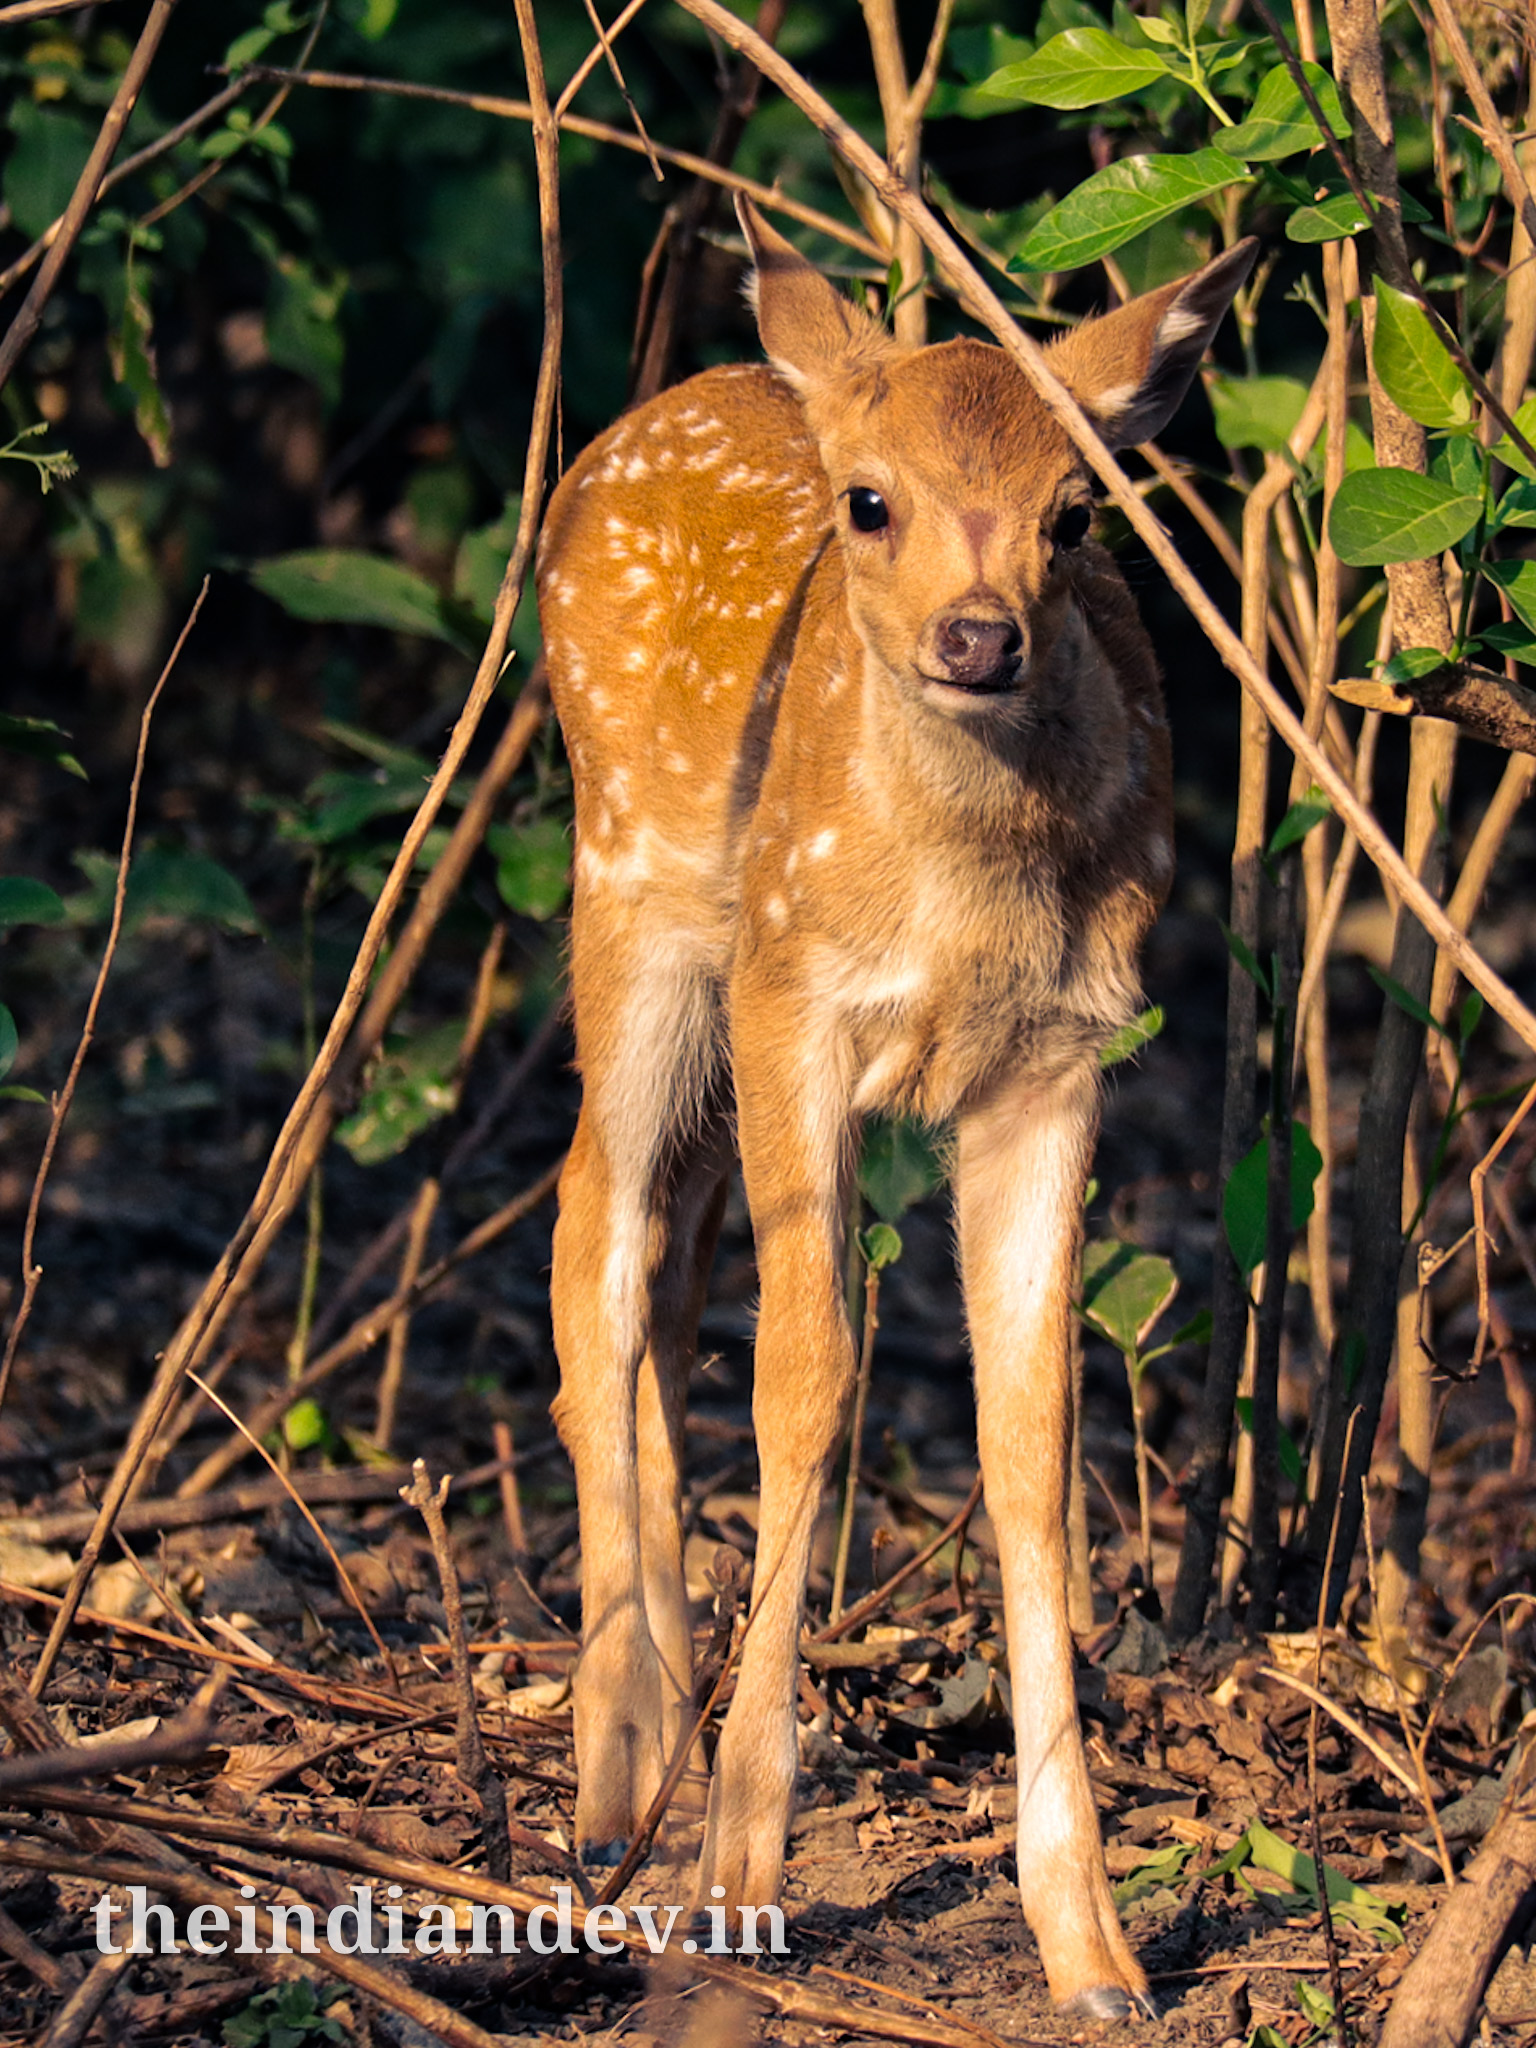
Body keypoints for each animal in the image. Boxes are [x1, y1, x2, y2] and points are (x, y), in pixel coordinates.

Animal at [537, 199, 1256, 2020]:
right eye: (871, 502)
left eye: (1078, 510)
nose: (980, 636)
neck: (962, 891)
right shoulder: (796, 1000)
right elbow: (810, 1384)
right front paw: (740, 1877)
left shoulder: (1057, 1066)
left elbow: (1031, 1441)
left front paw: (1096, 1946)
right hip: (636, 895)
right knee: (594, 1232)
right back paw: (612, 1790)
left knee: (665, 1259)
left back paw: (652, 1742)